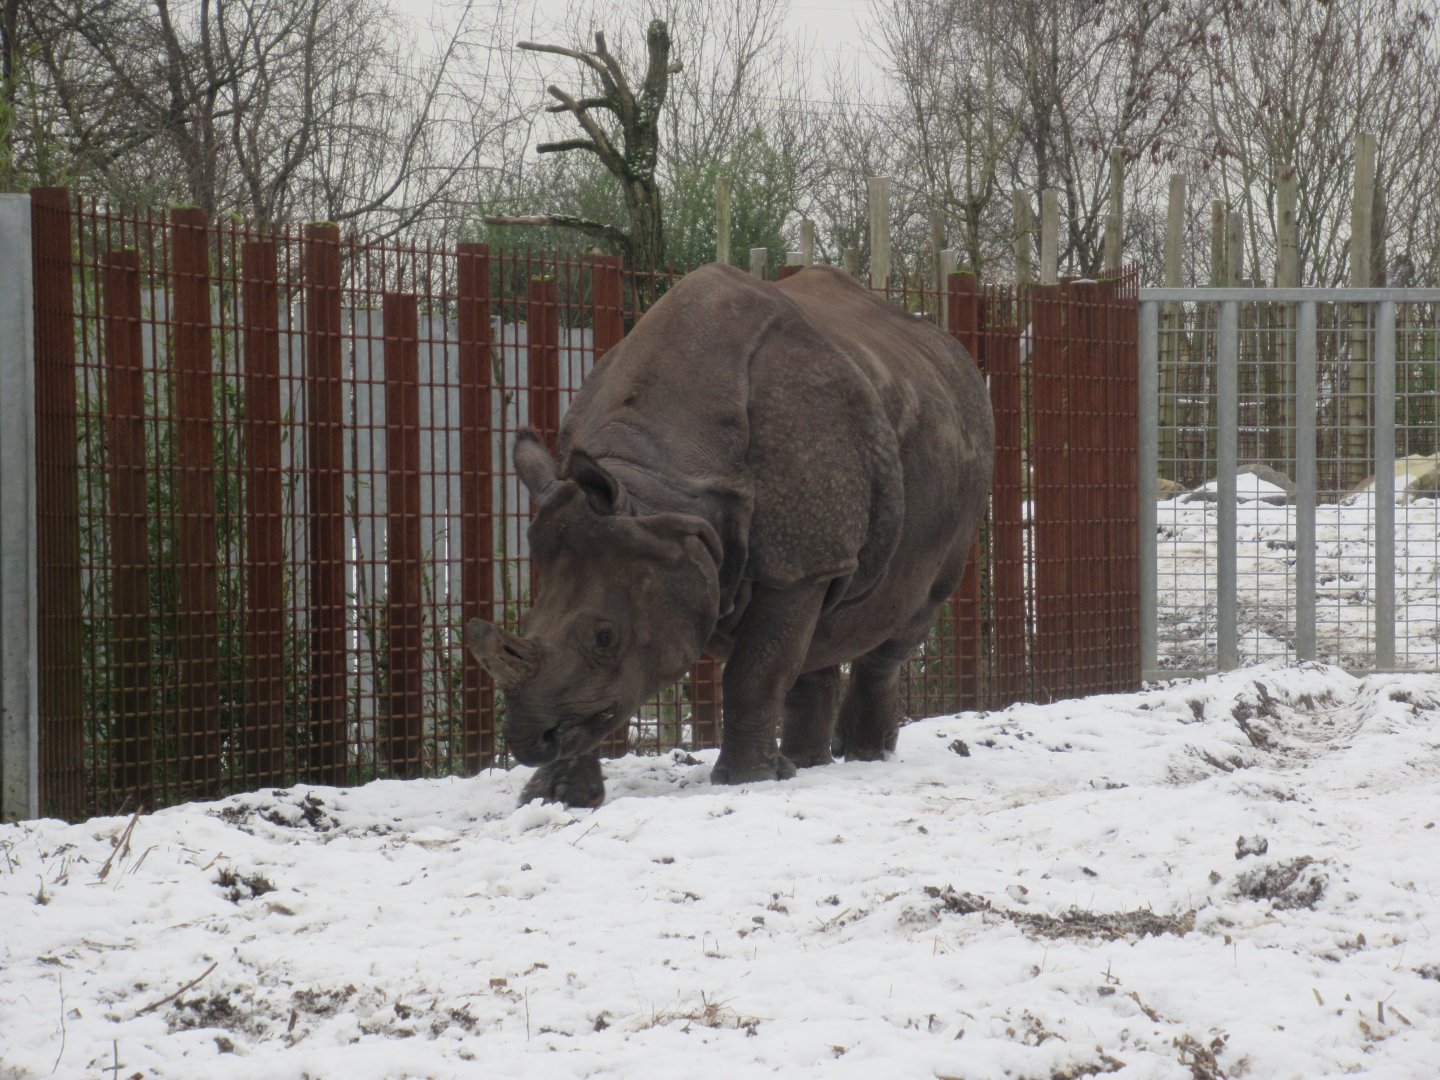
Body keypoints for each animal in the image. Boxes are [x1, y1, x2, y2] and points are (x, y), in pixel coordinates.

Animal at [467, 263, 994, 807]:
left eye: (605, 637)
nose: (533, 739)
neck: (659, 482)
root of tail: (956, 353)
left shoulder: (795, 564)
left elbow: (754, 672)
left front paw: (747, 780)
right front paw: (556, 798)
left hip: (958, 461)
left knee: (912, 610)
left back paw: (865, 757)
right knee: (821, 628)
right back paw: (808, 764)